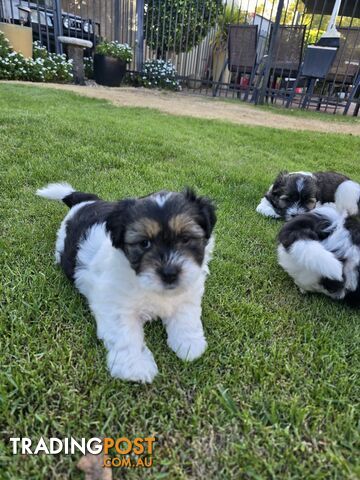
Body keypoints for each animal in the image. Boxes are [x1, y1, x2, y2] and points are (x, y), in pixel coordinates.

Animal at [36, 183, 217, 382]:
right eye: (144, 243)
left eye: (185, 239)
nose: (169, 274)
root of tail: (85, 202)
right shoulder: (115, 305)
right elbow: (126, 335)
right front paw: (135, 367)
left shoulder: (188, 294)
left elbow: (186, 317)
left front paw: (189, 344)